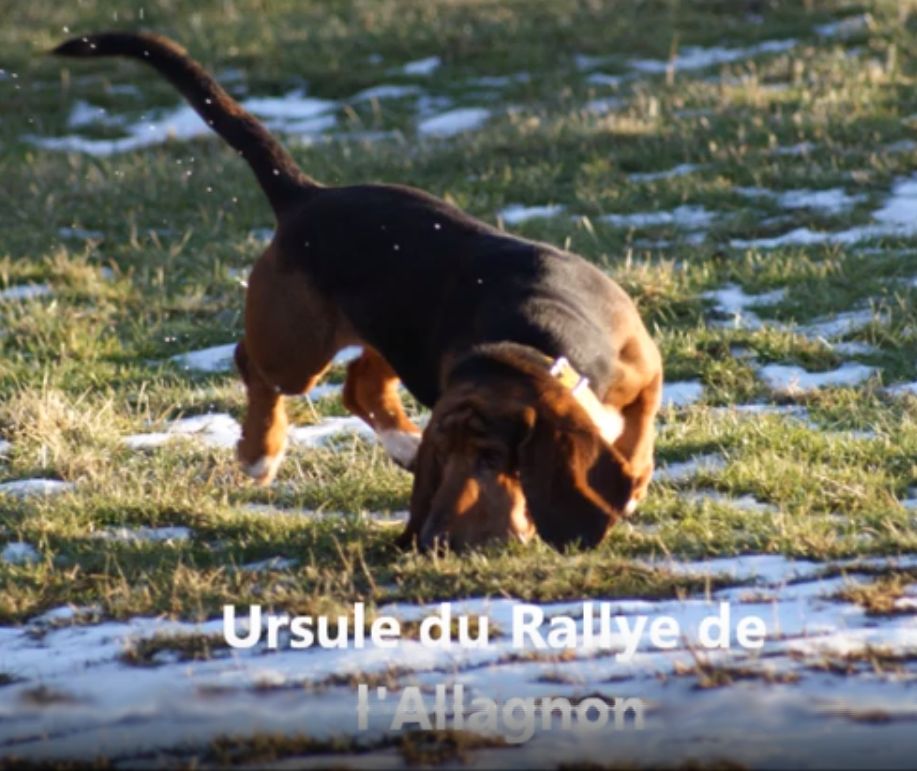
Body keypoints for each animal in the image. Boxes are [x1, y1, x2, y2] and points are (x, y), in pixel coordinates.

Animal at [53, 30, 660, 548]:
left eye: (492, 459)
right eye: (448, 457)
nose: (434, 538)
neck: (536, 342)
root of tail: (306, 196)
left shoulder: (646, 370)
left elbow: (639, 435)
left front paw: (628, 483)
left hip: (390, 331)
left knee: (358, 386)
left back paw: (398, 443)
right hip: (297, 351)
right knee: (256, 363)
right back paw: (261, 454)